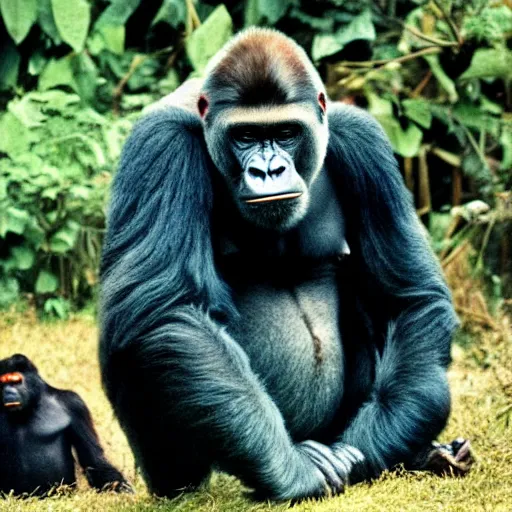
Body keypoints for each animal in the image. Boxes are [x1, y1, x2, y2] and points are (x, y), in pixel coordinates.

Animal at [0, 354, 132, 494]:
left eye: (15, 381)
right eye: (2, 384)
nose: (7, 392)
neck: (33, 402)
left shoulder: (74, 404)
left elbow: (94, 460)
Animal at [99, 27, 472, 500]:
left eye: (286, 132)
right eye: (244, 136)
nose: (269, 170)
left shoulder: (363, 141)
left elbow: (408, 298)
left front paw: (364, 451)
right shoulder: (160, 145)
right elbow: (166, 309)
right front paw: (293, 470)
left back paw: (426, 455)